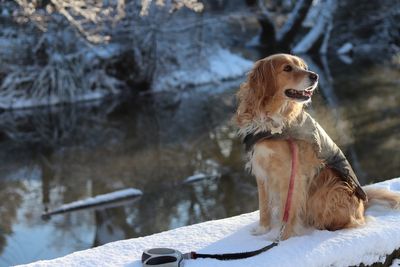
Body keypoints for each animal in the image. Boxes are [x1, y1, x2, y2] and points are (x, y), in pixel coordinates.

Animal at [236, 54, 398, 241]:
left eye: (302, 66)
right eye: (287, 68)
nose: (315, 76)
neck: (274, 124)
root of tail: (364, 204)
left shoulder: (292, 174)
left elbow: (288, 210)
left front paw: (283, 238)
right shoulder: (262, 170)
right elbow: (264, 207)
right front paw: (262, 230)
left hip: (331, 189)